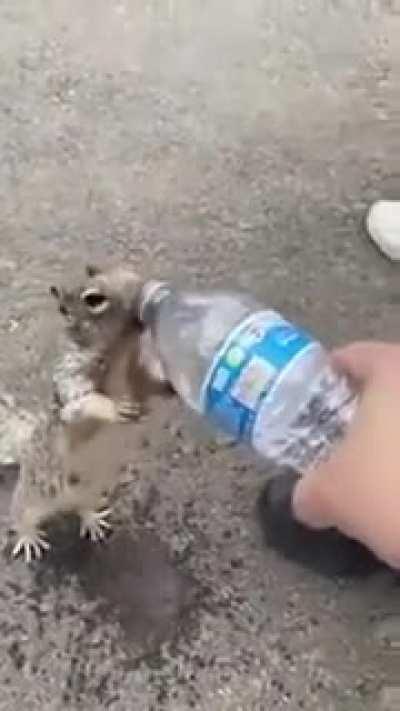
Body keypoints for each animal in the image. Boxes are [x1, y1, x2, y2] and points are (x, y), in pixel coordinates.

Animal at [11, 264, 169, 563]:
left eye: (127, 270)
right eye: (94, 299)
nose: (142, 288)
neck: (122, 348)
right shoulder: (72, 370)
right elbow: (81, 403)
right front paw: (115, 407)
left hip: (93, 491)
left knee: (83, 508)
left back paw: (92, 520)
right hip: (36, 493)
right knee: (22, 514)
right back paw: (28, 537)